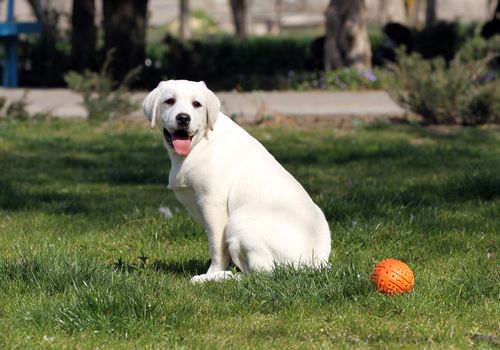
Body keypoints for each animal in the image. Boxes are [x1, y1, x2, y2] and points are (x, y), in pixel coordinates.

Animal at [143, 80, 330, 284]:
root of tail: (315, 264)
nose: (183, 118)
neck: (199, 143)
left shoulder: (212, 204)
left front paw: (212, 272)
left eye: (197, 104)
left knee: (261, 275)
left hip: (239, 220)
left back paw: (216, 278)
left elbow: (216, 247)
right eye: (169, 101)